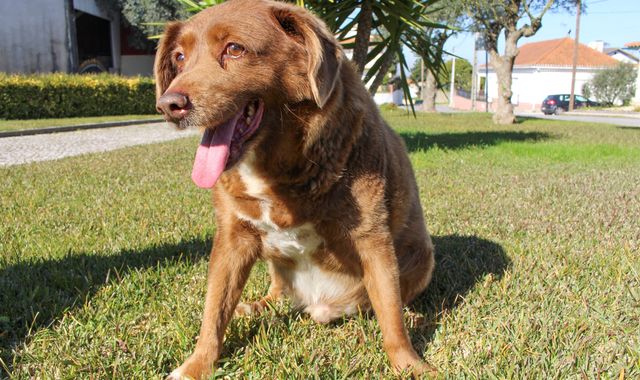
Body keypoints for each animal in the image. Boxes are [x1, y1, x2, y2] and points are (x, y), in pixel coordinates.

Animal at [153, 0, 438, 378]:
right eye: (180, 57)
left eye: (234, 49)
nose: (169, 105)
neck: (276, 168)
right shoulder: (232, 238)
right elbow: (213, 312)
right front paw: (197, 364)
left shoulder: (372, 238)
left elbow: (391, 317)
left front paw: (410, 365)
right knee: (275, 294)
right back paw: (254, 306)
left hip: (422, 257)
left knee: (387, 302)